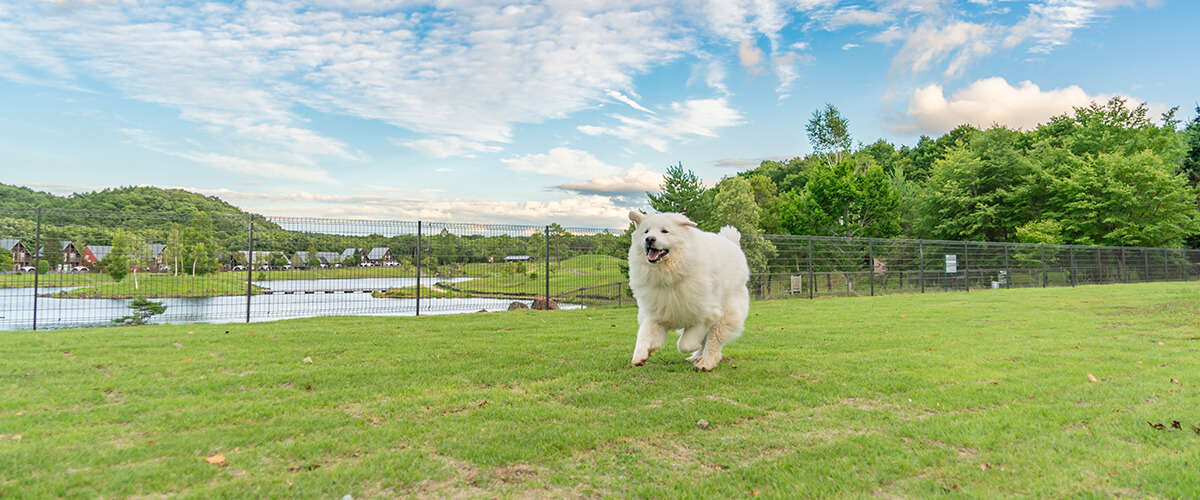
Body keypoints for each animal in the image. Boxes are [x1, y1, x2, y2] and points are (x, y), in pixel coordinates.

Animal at [628, 211, 748, 369]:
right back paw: (696, 358)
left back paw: (705, 363)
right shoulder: (655, 312)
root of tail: (731, 243)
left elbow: (685, 344)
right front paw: (642, 354)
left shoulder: (706, 314)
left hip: (726, 315)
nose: (649, 239)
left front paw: (693, 347)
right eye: (646, 231)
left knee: (712, 342)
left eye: (664, 231)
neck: (670, 274)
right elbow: (643, 334)